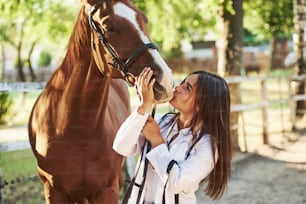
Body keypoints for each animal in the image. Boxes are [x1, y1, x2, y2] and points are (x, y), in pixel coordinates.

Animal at [28, 0, 175, 203]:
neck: (75, 130)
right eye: (108, 27)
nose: (165, 81)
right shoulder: (53, 191)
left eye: (144, 19)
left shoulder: (107, 190)